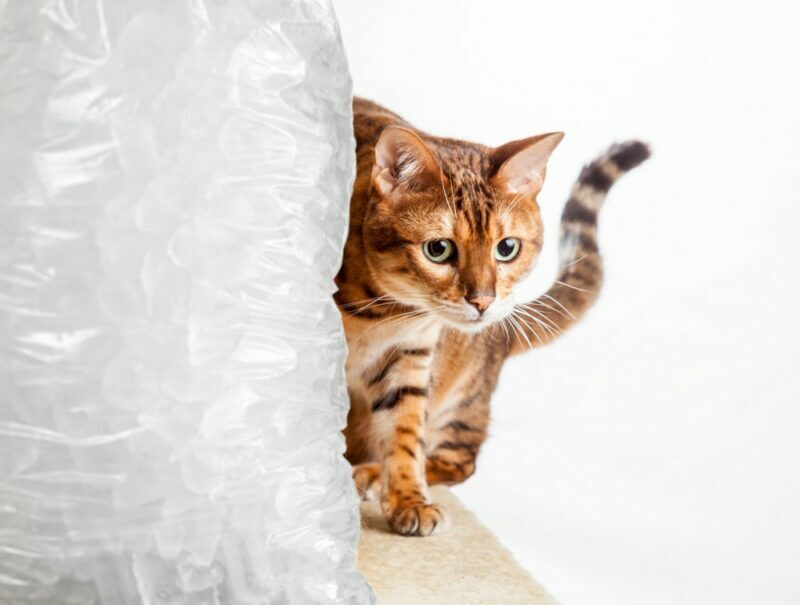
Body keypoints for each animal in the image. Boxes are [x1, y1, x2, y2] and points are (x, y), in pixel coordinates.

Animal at [334, 96, 648, 536]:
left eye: (507, 248)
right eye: (438, 250)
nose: (482, 301)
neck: (385, 312)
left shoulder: (411, 356)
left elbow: (405, 432)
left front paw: (408, 499)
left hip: (462, 402)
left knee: (458, 462)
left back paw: (371, 476)